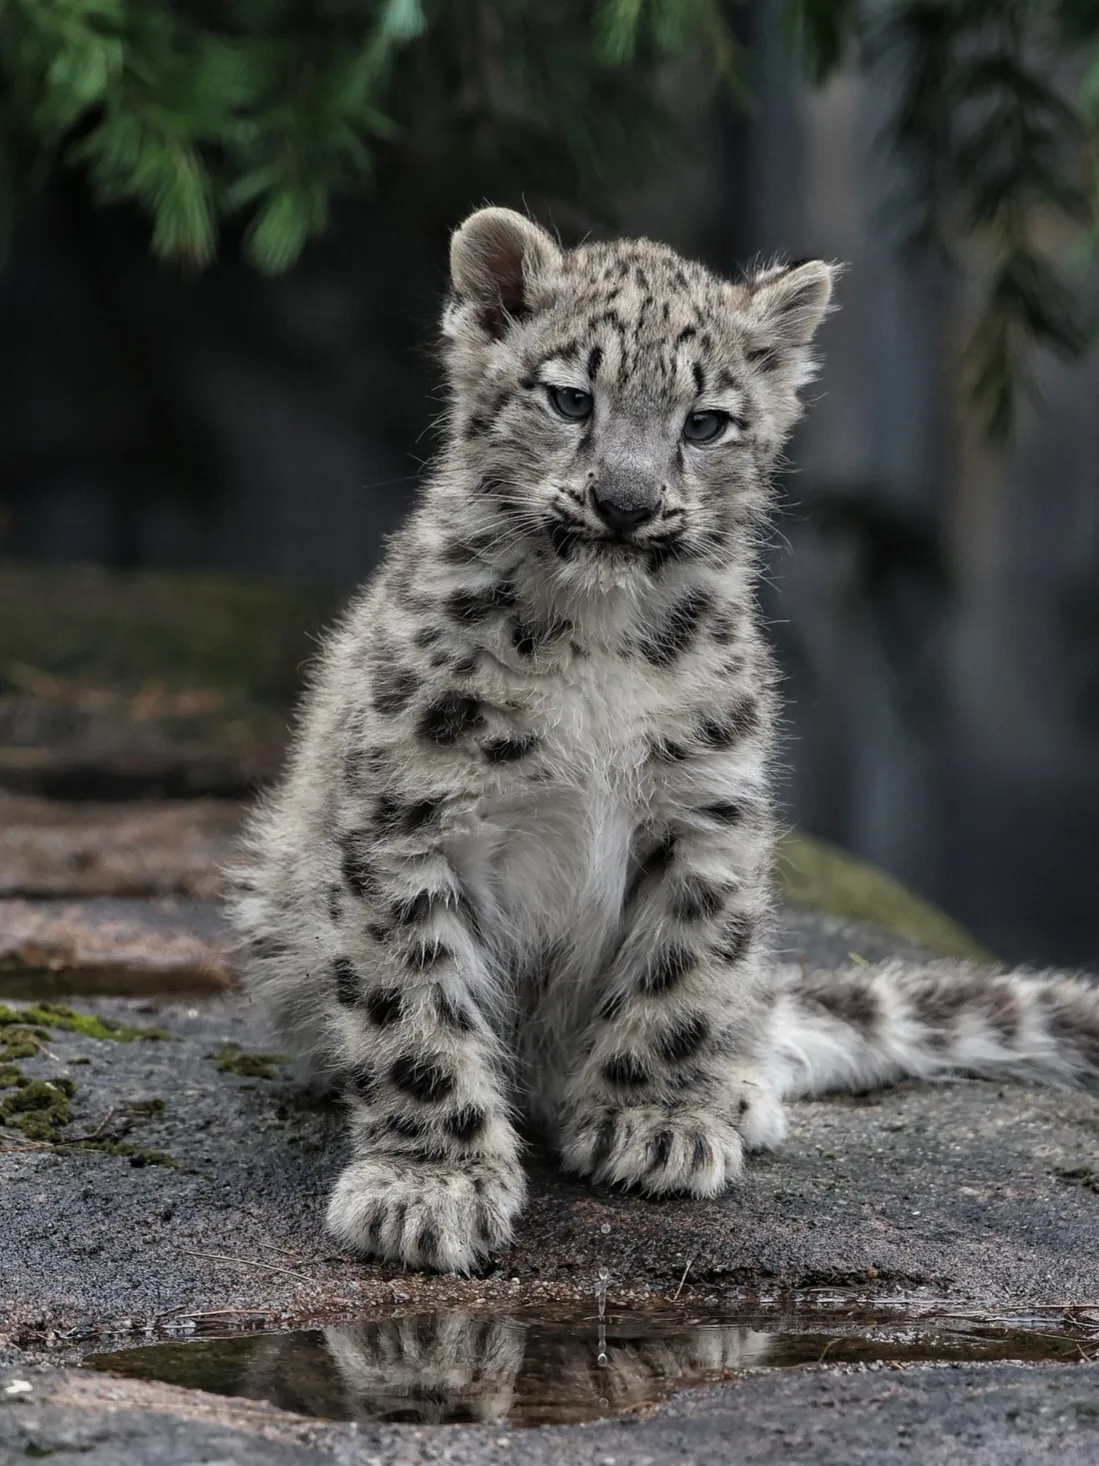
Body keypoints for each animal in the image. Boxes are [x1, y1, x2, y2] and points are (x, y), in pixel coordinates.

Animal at [230, 206, 1099, 1274]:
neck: (594, 638)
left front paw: (652, 1127)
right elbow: (416, 1003)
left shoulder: (704, 809)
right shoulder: (412, 816)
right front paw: (427, 1187)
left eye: (706, 422)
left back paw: (734, 1093)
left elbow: (678, 972)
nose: (627, 502)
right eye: (570, 398)